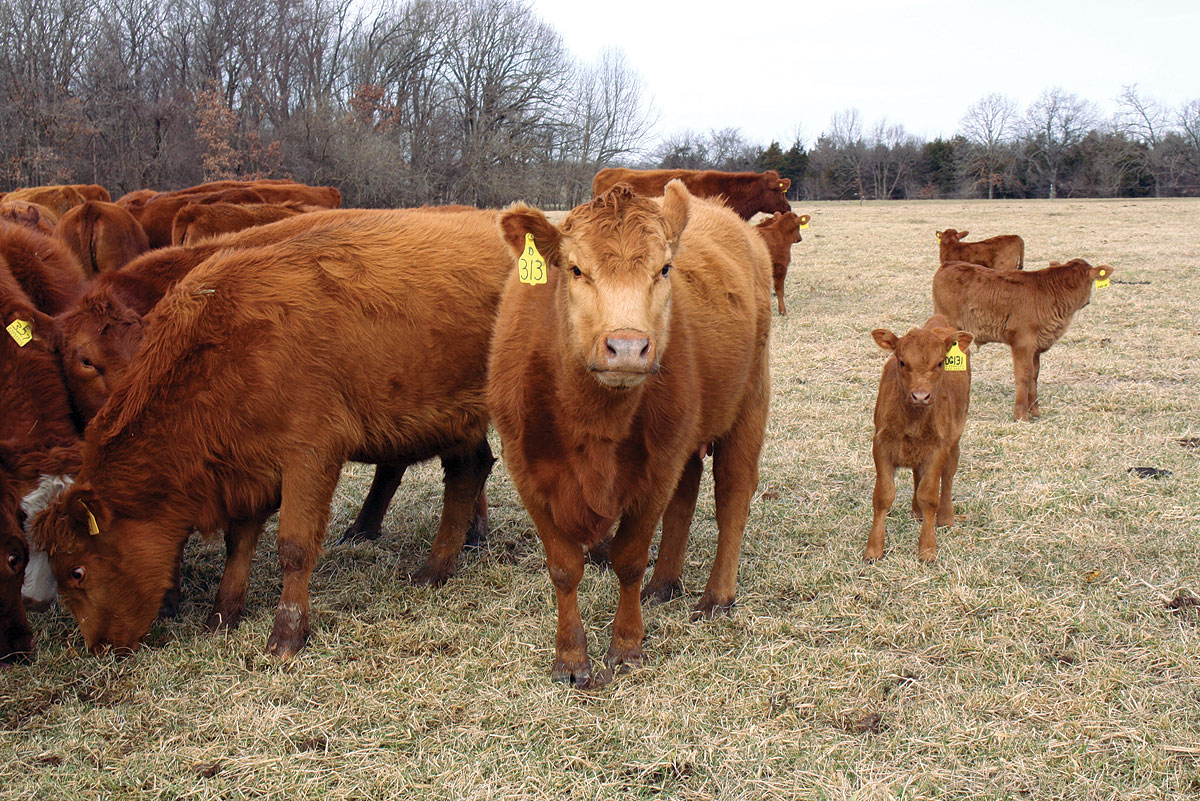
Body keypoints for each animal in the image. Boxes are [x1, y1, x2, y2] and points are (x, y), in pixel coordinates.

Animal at [32, 206, 511, 657]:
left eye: (77, 571)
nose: (99, 647)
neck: (226, 347)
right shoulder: (248, 466)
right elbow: (238, 544)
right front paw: (223, 614)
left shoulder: (311, 456)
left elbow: (294, 548)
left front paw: (287, 634)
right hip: (452, 419)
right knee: (468, 471)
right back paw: (436, 569)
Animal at [484, 183, 768, 690]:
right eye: (576, 268)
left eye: (665, 269)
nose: (629, 347)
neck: (591, 420)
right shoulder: (527, 470)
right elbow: (564, 568)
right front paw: (570, 657)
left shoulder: (654, 472)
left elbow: (630, 558)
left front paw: (627, 645)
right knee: (686, 497)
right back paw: (664, 584)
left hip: (749, 404)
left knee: (733, 499)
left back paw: (717, 596)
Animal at [864, 311, 974, 563]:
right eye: (902, 361)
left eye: (940, 362)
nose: (921, 396)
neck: (912, 421)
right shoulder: (881, 444)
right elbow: (883, 495)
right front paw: (874, 549)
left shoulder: (938, 448)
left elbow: (930, 495)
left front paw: (927, 548)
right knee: (917, 473)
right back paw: (916, 511)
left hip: (955, 437)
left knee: (948, 475)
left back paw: (946, 518)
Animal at [926, 257, 1113, 422]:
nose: (1087, 301)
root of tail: (949, 264)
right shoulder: (1023, 342)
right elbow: (1024, 374)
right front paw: (1021, 415)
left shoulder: (1036, 346)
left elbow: (1034, 375)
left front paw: (1035, 411)